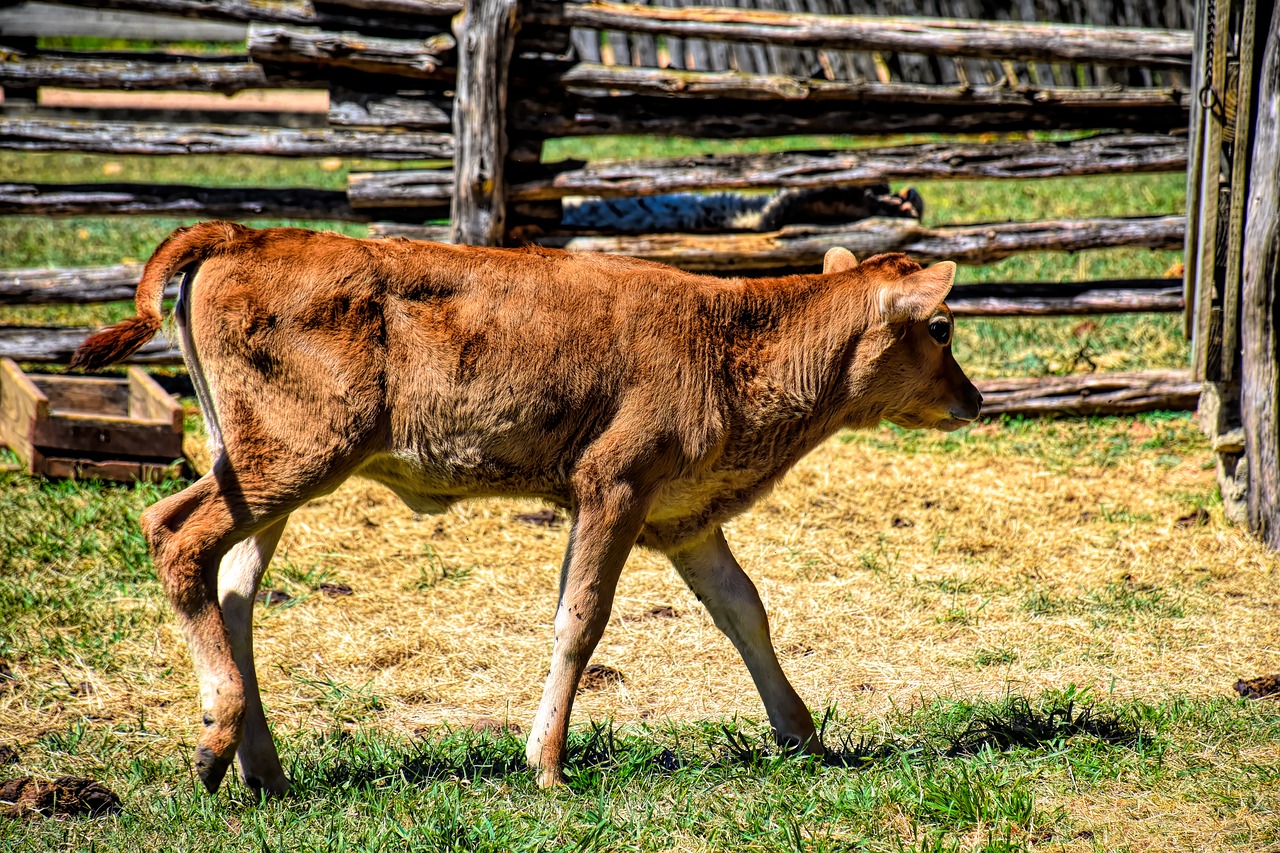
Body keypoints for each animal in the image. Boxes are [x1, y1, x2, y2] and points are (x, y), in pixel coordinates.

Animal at [74, 219, 983, 788]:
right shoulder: (613, 483)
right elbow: (580, 618)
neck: (730, 338)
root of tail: (245, 234)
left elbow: (744, 609)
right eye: (941, 327)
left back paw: (262, 766)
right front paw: (545, 763)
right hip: (291, 456)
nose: (974, 398)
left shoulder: (683, 514)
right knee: (174, 533)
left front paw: (803, 734)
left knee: (235, 592)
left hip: (262, 466)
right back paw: (214, 739)